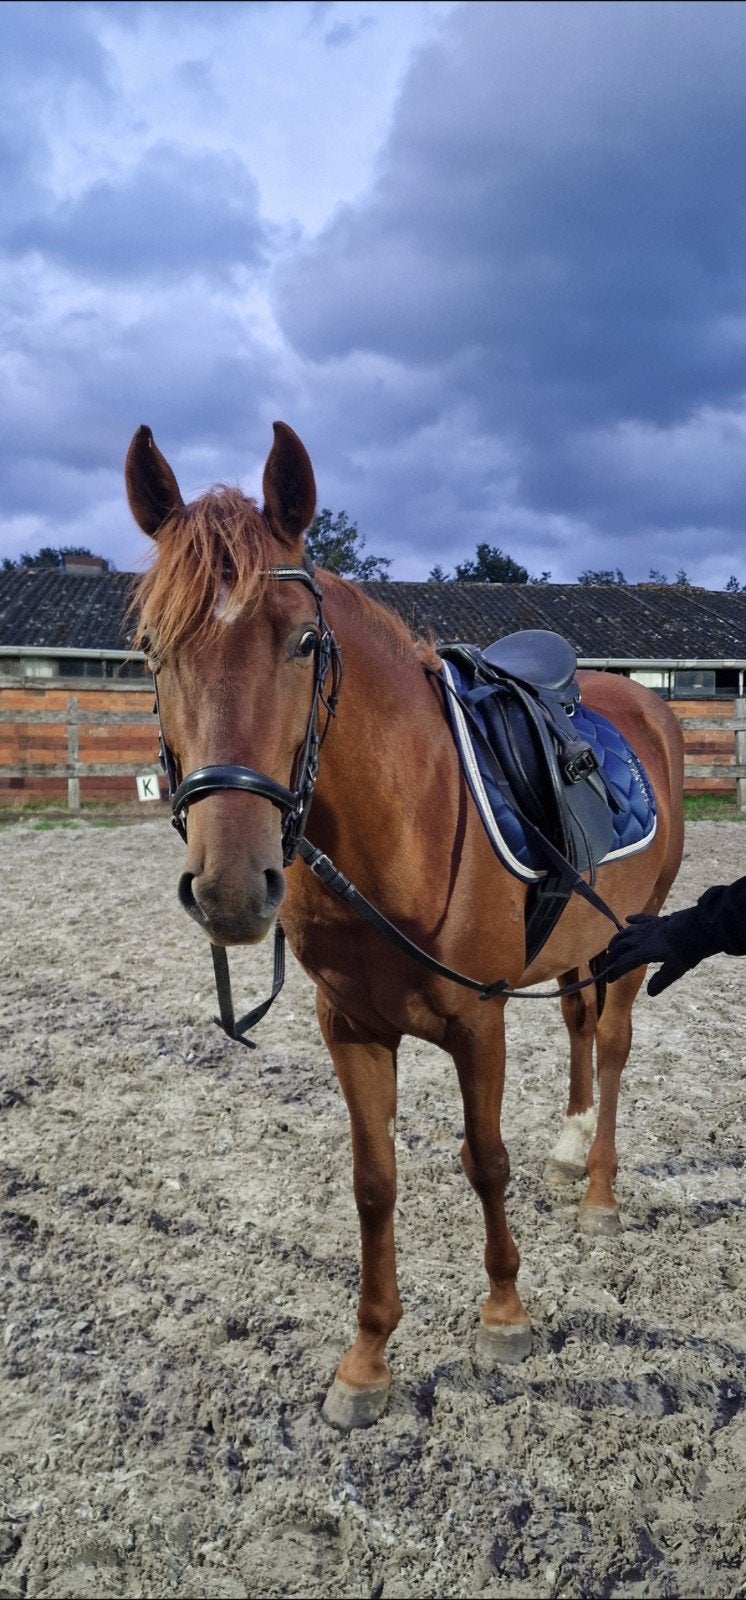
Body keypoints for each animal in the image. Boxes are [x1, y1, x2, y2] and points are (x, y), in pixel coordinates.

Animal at [126, 420, 685, 1431]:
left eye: (305, 641)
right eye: (152, 646)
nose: (231, 886)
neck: (400, 825)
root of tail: (645, 701)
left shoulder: (479, 1018)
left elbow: (485, 1161)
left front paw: (505, 1316)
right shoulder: (350, 1026)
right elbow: (374, 1181)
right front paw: (368, 1361)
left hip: (639, 929)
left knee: (616, 1042)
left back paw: (598, 1192)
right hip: (578, 945)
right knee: (579, 1027)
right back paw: (568, 1149)